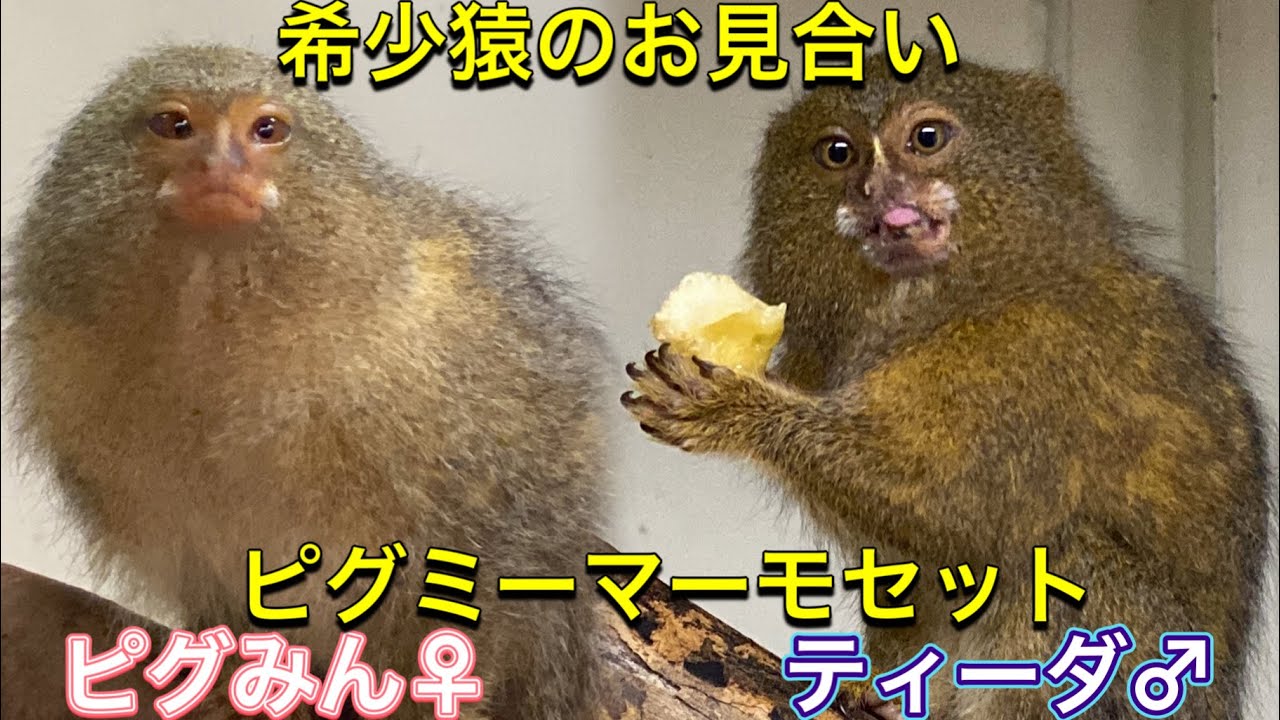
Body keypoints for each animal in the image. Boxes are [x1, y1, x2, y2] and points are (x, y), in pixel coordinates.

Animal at [623, 56, 1271, 719]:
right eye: (838, 152)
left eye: (927, 139)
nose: (877, 188)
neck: (958, 295)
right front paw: (873, 679)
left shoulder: (1034, 358)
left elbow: (957, 510)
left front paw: (737, 411)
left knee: (1068, 557)